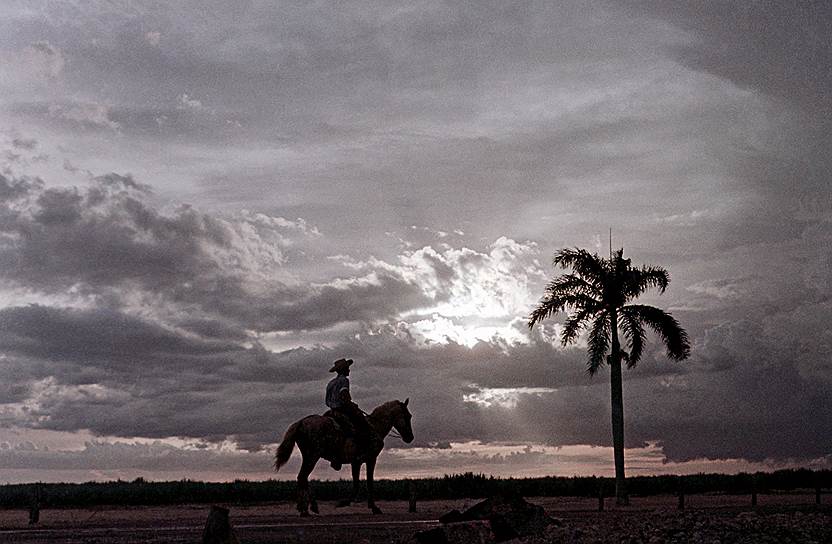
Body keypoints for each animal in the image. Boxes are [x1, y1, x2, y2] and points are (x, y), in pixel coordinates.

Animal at [274, 398, 414, 516]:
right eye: (408, 416)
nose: (410, 437)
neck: (375, 427)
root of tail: (301, 423)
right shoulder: (369, 460)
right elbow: (366, 483)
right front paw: (370, 507)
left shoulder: (356, 462)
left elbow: (358, 484)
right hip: (313, 456)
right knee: (303, 476)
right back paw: (306, 509)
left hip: (308, 456)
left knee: (302, 478)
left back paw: (307, 508)